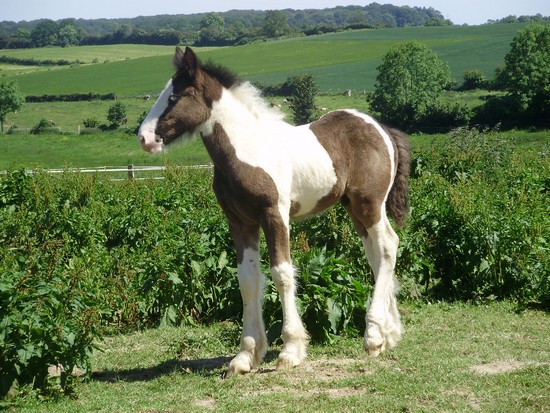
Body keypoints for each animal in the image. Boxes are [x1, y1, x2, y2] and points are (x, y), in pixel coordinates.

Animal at [140, 46, 412, 374]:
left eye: (175, 96)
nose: (144, 138)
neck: (247, 150)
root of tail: (381, 128)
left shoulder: (275, 215)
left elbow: (281, 273)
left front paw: (291, 349)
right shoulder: (240, 222)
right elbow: (248, 280)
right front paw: (245, 356)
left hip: (370, 203)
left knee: (388, 246)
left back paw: (373, 336)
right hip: (355, 207)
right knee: (377, 253)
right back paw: (389, 333)